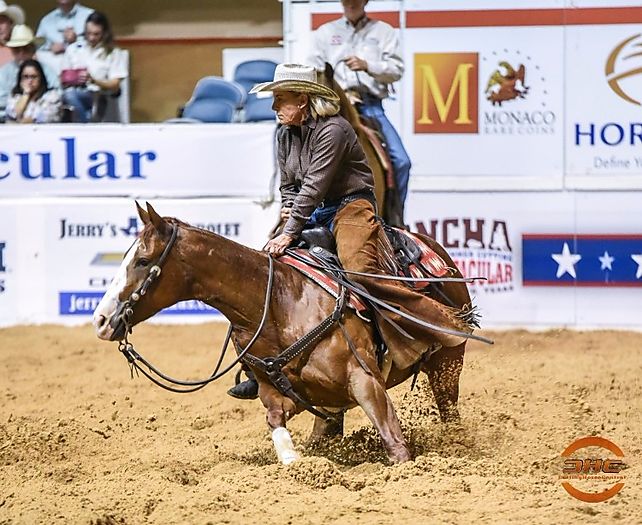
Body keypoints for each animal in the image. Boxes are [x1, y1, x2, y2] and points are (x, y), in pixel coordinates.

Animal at [93, 202, 481, 465]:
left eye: (143, 261)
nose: (100, 320)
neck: (279, 303)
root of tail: (435, 248)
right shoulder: (283, 395)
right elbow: (278, 428)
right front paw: (295, 463)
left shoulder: (366, 380)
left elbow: (395, 443)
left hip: (447, 364)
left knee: (450, 411)